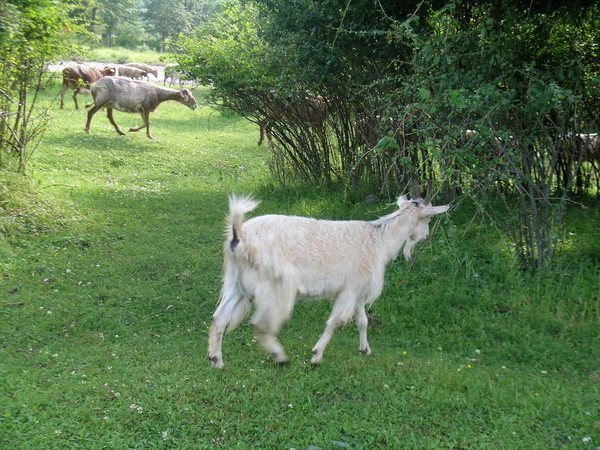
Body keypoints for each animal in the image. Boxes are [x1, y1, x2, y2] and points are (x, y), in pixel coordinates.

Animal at [209, 195, 448, 368]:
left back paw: (216, 360)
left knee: (219, 318)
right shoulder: (350, 290)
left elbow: (362, 321)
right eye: (428, 218)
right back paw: (279, 356)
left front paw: (365, 349)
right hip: (276, 284)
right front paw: (316, 355)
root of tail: (238, 236)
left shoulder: (358, 289)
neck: (379, 240)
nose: (426, 236)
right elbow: (335, 322)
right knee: (259, 324)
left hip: (235, 283)